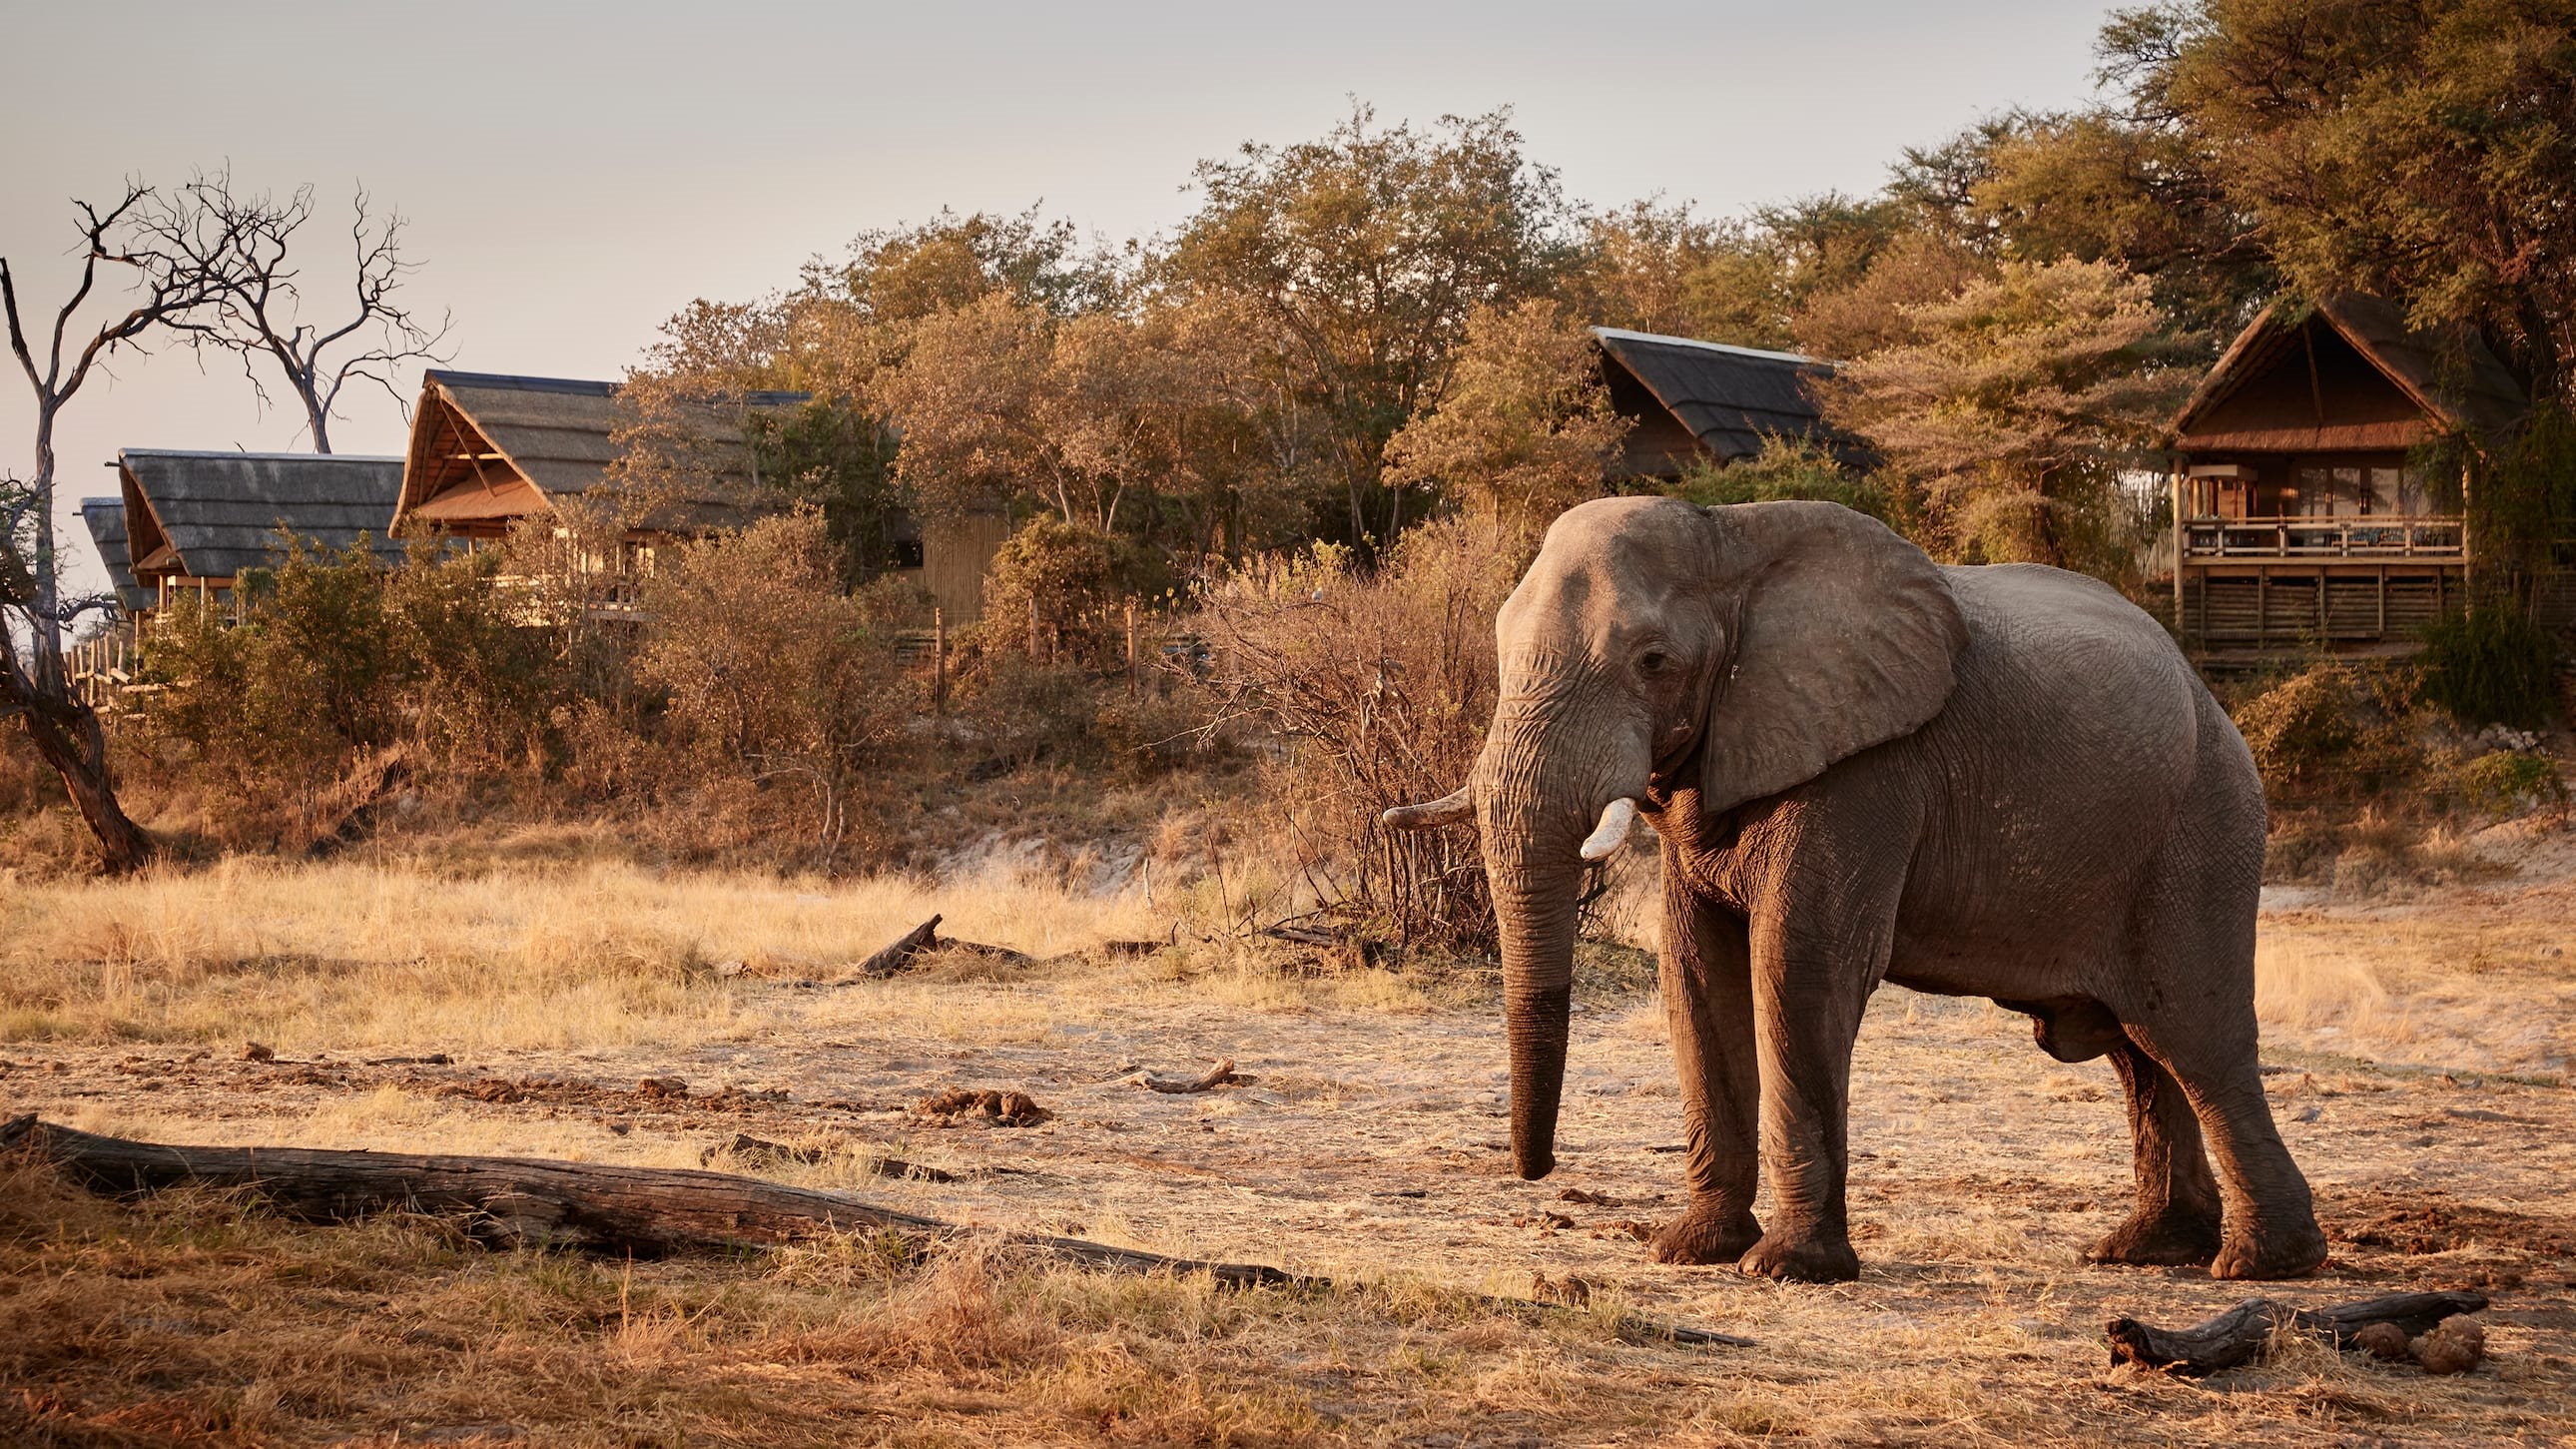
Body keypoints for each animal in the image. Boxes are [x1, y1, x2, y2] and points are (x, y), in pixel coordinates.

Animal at [1384, 496, 2328, 1283]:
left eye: (1652, 661)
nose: (1537, 1170)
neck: (1731, 540)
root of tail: (2212, 701)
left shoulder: (1869, 769)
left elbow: (1799, 967)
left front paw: (1786, 1268)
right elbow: (1694, 975)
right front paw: (1691, 1249)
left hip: (2202, 830)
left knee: (2194, 1037)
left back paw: (2259, 1266)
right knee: (2140, 1050)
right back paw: (2148, 1249)